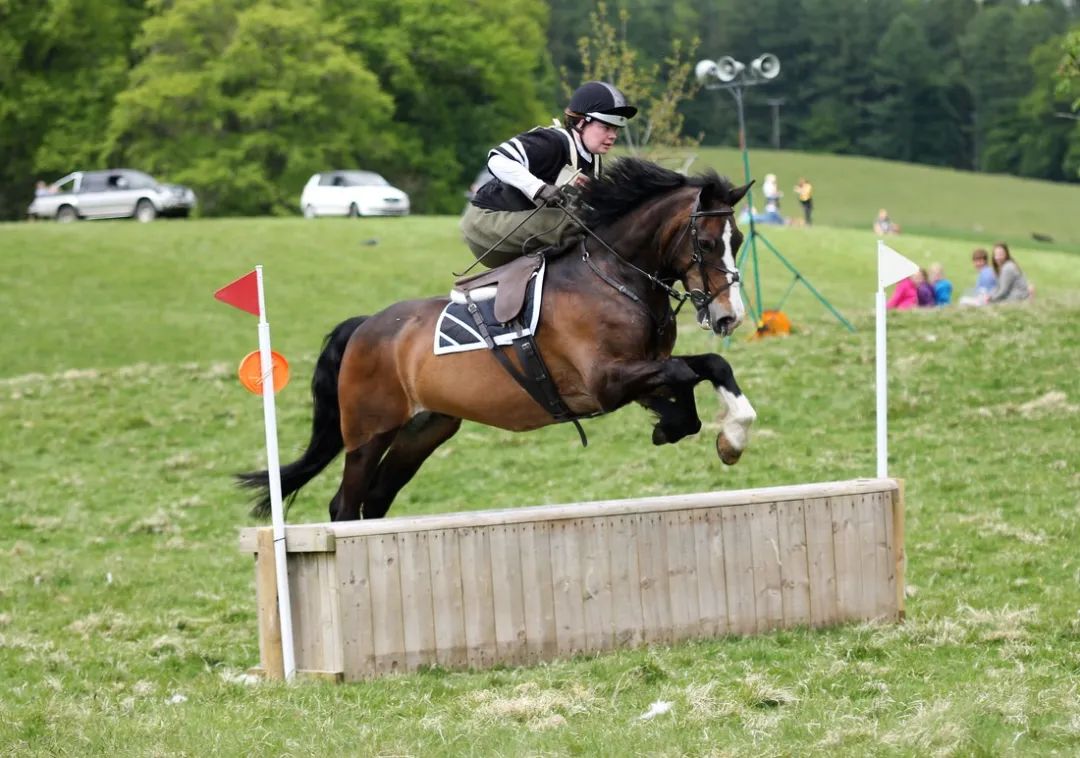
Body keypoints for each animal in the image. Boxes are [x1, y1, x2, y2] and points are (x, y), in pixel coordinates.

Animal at [240, 155, 756, 522]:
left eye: (739, 240)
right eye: (706, 243)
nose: (730, 317)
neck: (614, 276)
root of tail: (365, 326)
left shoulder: (643, 368)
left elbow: (707, 367)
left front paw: (716, 433)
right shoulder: (607, 382)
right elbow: (684, 371)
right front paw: (697, 428)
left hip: (423, 430)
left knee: (375, 500)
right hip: (369, 433)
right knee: (345, 506)